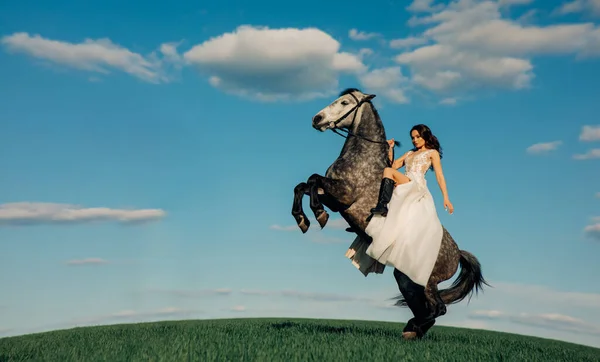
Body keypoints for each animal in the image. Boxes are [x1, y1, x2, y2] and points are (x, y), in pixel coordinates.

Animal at [292, 87, 490, 340]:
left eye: (344, 102)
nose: (317, 119)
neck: (362, 157)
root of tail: (457, 254)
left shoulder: (343, 194)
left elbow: (313, 179)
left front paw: (318, 214)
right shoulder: (333, 197)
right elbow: (302, 186)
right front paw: (302, 219)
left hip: (428, 281)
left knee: (437, 308)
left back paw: (413, 330)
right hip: (407, 278)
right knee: (422, 305)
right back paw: (412, 329)